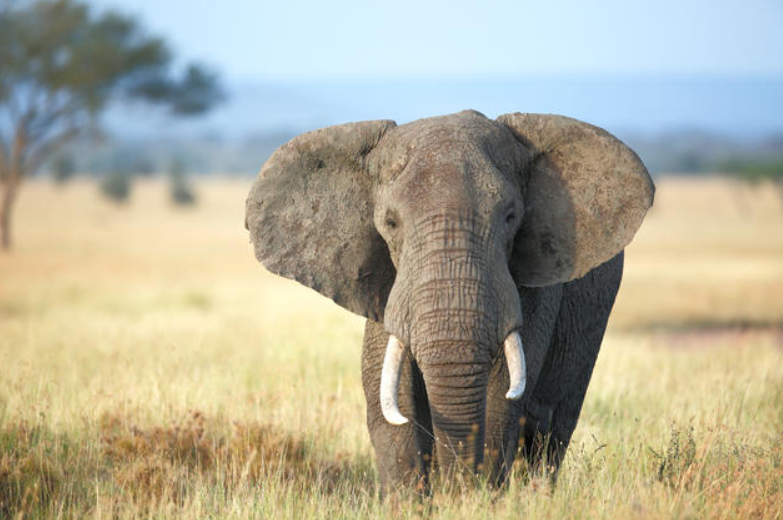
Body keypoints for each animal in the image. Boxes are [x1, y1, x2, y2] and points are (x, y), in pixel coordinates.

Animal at [245, 110, 654, 496]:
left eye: (510, 217)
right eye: (390, 223)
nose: (455, 489)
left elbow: (501, 398)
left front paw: (474, 501)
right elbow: (389, 399)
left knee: (551, 431)